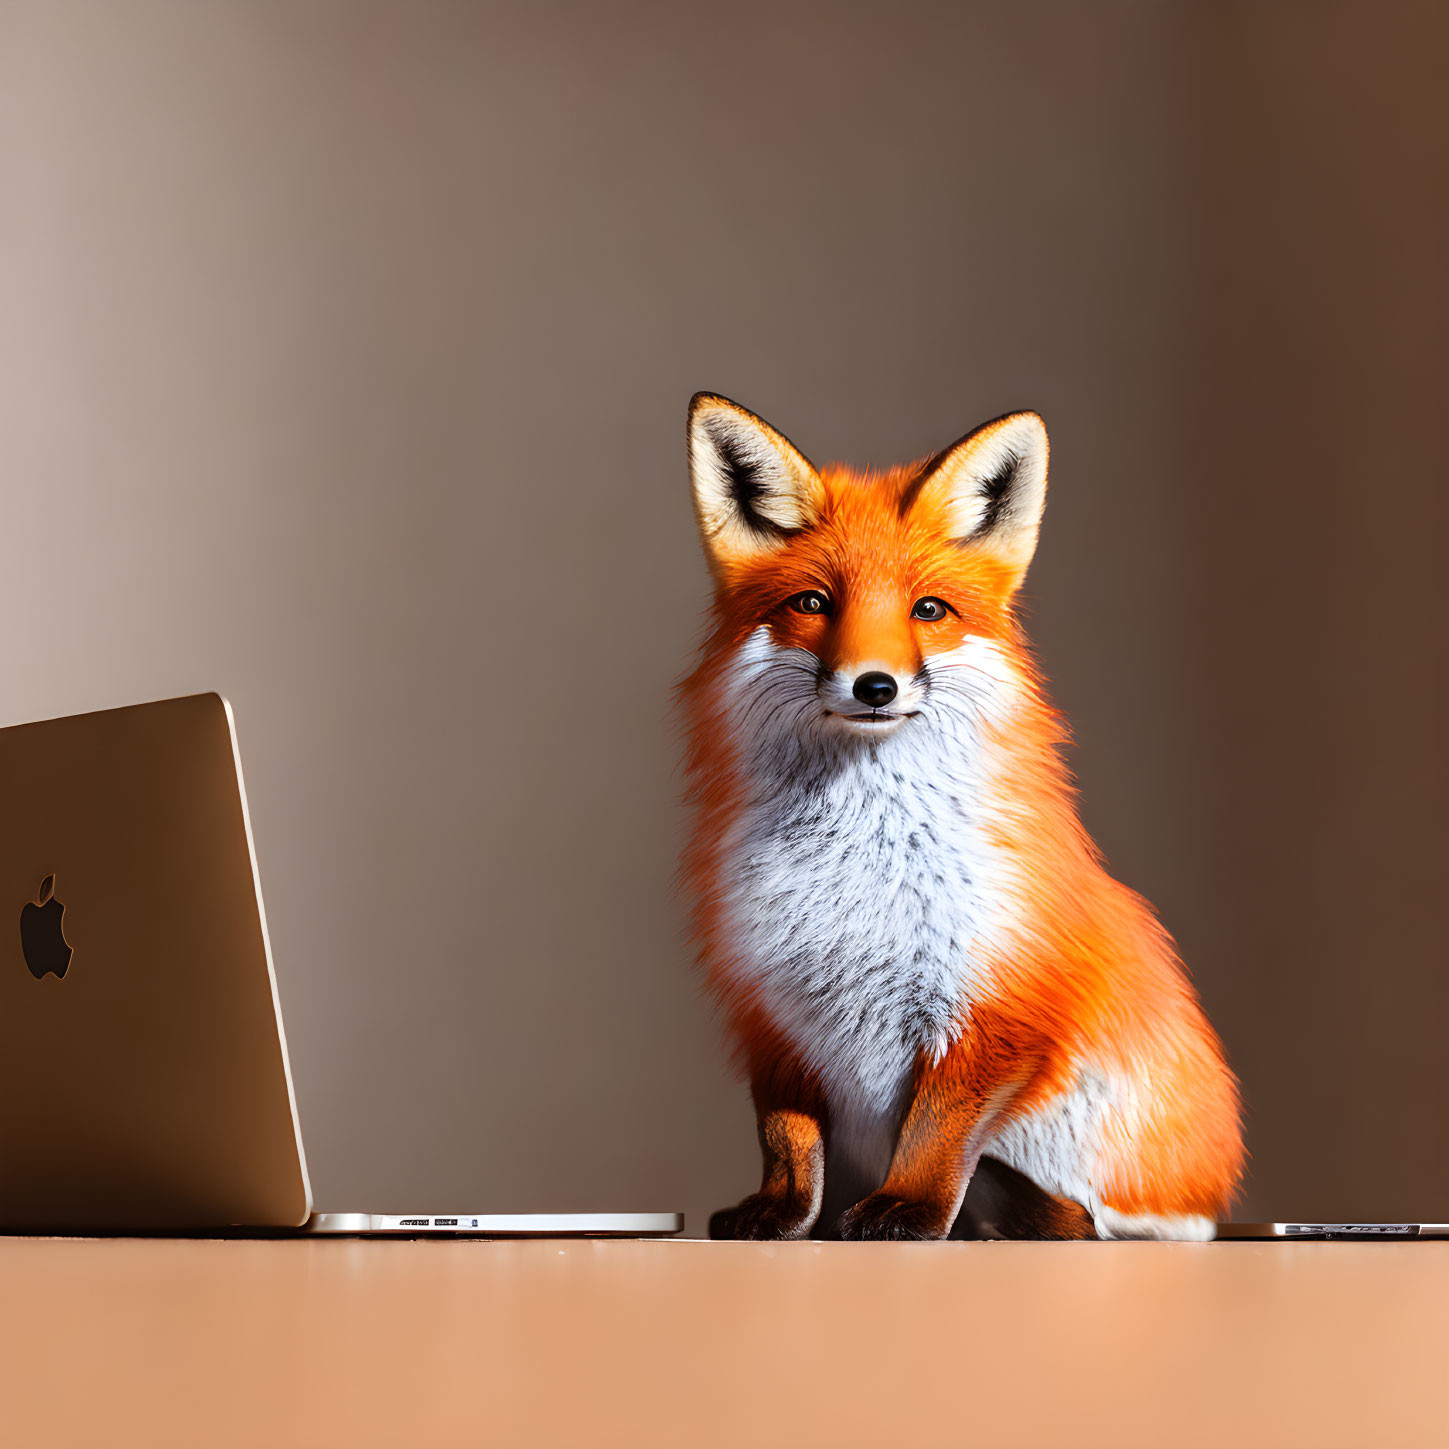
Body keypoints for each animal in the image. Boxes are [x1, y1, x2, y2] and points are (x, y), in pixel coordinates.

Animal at [681, 391, 1246, 1240]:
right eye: (812, 603)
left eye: (928, 610)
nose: (874, 685)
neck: (855, 871)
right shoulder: (771, 1015)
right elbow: (786, 1140)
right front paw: (780, 1213)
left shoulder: (995, 1006)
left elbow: (938, 1127)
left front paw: (907, 1207)